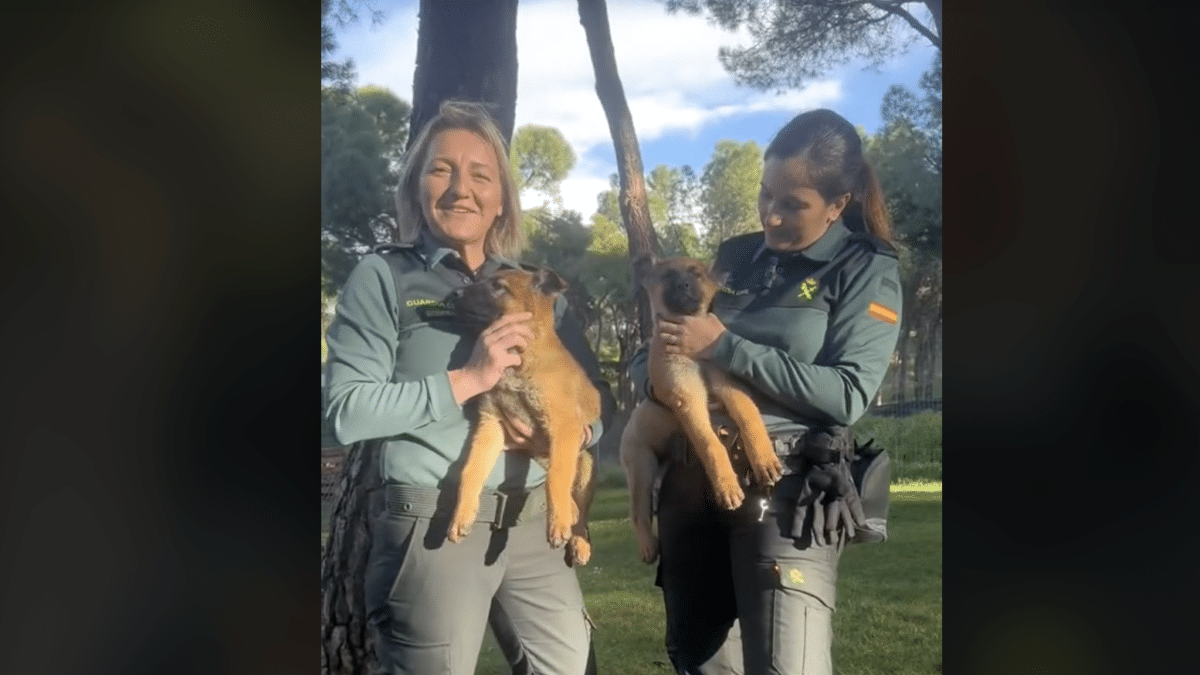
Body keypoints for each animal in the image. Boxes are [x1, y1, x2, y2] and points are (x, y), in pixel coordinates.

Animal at [446, 263, 600, 562]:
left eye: (497, 285)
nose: (452, 293)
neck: (518, 358)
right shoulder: (492, 424)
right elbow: (471, 470)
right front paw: (461, 516)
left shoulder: (564, 426)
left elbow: (556, 477)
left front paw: (558, 524)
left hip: (585, 461)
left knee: (579, 506)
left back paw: (578, 540)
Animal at [619, 254, 787, 559]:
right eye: (667, 276)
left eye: (695, 274)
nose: (684, 284)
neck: (693, 351)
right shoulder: (688, 400)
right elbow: (711, 444)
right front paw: (727, 487)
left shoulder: (729, 387)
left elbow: (749, 417)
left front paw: (765, 460)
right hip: (640, 469)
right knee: (638, 512)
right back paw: (647, 545)